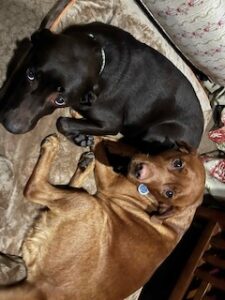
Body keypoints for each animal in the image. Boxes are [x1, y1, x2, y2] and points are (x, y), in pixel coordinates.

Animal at [0, 21, 204, 152]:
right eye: (30, 74)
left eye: (60, 100)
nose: (10, 126)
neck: (100, 55)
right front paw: (79, 136)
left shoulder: (110, 123)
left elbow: (62, 121)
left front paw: (78, 134)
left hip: (158, 131)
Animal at [0, 136, 205, 300]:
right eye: (178, 163)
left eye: (169, 193)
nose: (140, 171)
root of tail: (39, 288)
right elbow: (123, 146)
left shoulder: (109, 182)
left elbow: (100, 148)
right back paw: (84, 166)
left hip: (86, 203)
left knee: (35, 189)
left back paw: (53, 148)